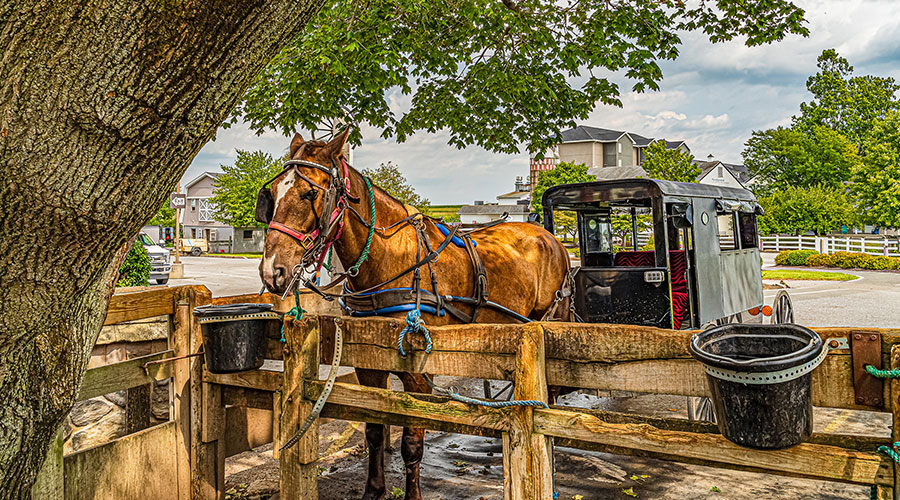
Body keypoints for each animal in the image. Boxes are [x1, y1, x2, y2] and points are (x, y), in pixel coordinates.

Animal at [260, 130, 568, 500]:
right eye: (272, 194)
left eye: (310, 193)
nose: (272, 271)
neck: (390, 259)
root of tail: (550, 236)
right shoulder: (369, 365)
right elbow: (375, 431)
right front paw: (373, 490)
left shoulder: (419, 371)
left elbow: (412, 440)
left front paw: (412, 493)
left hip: (550, 324)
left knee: (551, 395)